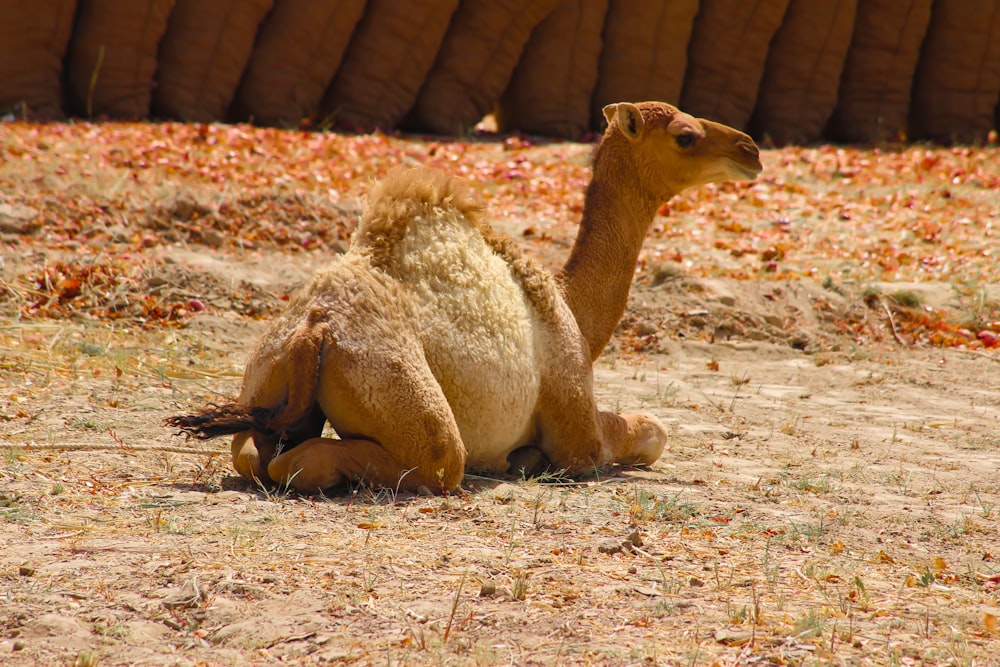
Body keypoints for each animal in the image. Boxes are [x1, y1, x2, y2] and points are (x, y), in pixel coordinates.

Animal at [168, 102, 760, 494]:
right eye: (685, 136)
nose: (750, 150)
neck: (570, 309)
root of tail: (314, 330)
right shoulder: (577, 428)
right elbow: (648, 432)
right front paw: (525, 458)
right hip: (405, 402)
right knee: (411, 461)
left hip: (265, 380)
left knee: (253, 450)